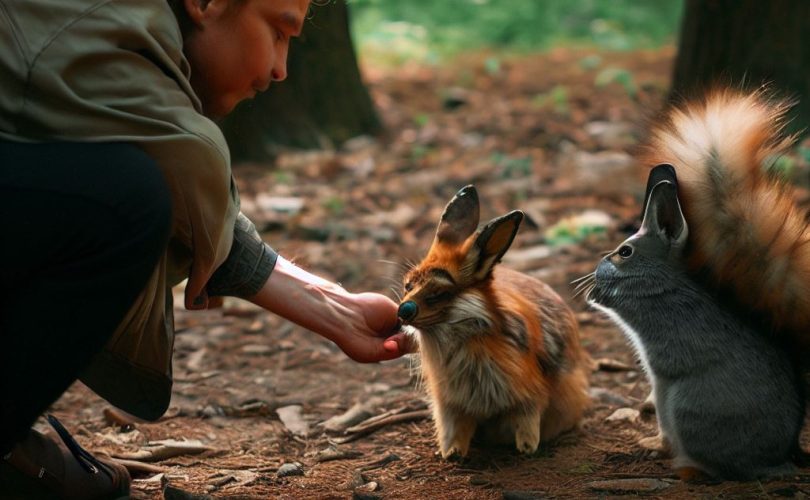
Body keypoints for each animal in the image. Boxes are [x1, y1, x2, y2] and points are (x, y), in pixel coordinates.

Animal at [396, 185, 588, 458]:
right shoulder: (450, 405)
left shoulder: (529, 399)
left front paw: (527, 449)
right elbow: (454, 431)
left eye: (439, 293)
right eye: (408, 285)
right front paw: (452, 453)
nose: (403, 311)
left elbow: (527, 426)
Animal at [580, 166, 800, 482]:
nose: (598, 268)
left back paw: (684, 465)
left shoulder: (643, 298)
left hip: (683, 407)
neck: (662, 274)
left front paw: (596, 292)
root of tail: (778, 459)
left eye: (625, 252)